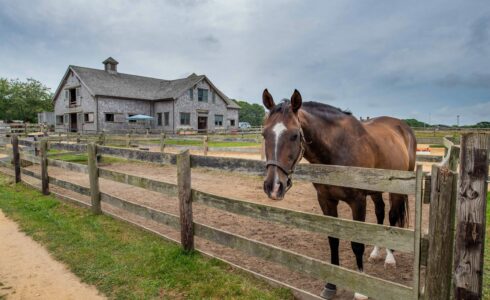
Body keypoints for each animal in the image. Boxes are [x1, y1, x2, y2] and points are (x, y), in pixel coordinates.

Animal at [260, 89, 418, 300]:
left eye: (294, 135)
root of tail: (404, 128)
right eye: (264, 134)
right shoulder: (326, 201)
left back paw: (390, 257)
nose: (274, 186)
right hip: (375, 191)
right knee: (380, 213)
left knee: (392, 217)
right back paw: (376, 252)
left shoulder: (358, 202)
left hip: (397, 190)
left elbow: (357, 244)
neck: (338, 149)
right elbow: (333, 240)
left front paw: (360, 290)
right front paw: (331, 285)